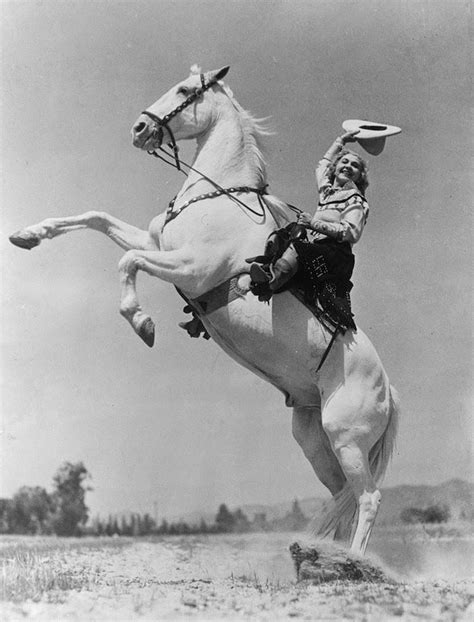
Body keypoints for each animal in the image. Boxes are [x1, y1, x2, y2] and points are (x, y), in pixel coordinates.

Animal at [9, 66, 398, 560]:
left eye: (183, 90)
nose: (140, 129)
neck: (217, 197)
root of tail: (389, 391)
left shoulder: (192, 268)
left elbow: (127, 263)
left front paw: (142, 322)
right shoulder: (157, 243)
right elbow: (98, 219)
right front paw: (28, 234)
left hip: (346, 437)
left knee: (368, 498)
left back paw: (351, 561)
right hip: (312, 434)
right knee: (340, 495)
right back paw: (317, 556)